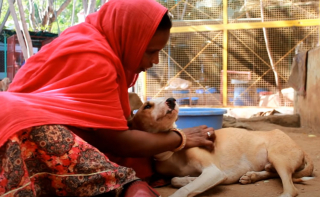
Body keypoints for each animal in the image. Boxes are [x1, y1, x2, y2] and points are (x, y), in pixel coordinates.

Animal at [129, 97, 314, 197]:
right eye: (147, 106)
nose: (172, 100)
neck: (172, 154)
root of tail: (300, 147)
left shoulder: (214, 171)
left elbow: (183, 190)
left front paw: (189, 183)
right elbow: (175, 180)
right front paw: (189, 179)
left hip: (279, 157)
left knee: (290, 189)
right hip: (273, 162)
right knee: (274, 173)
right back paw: (252, 176)